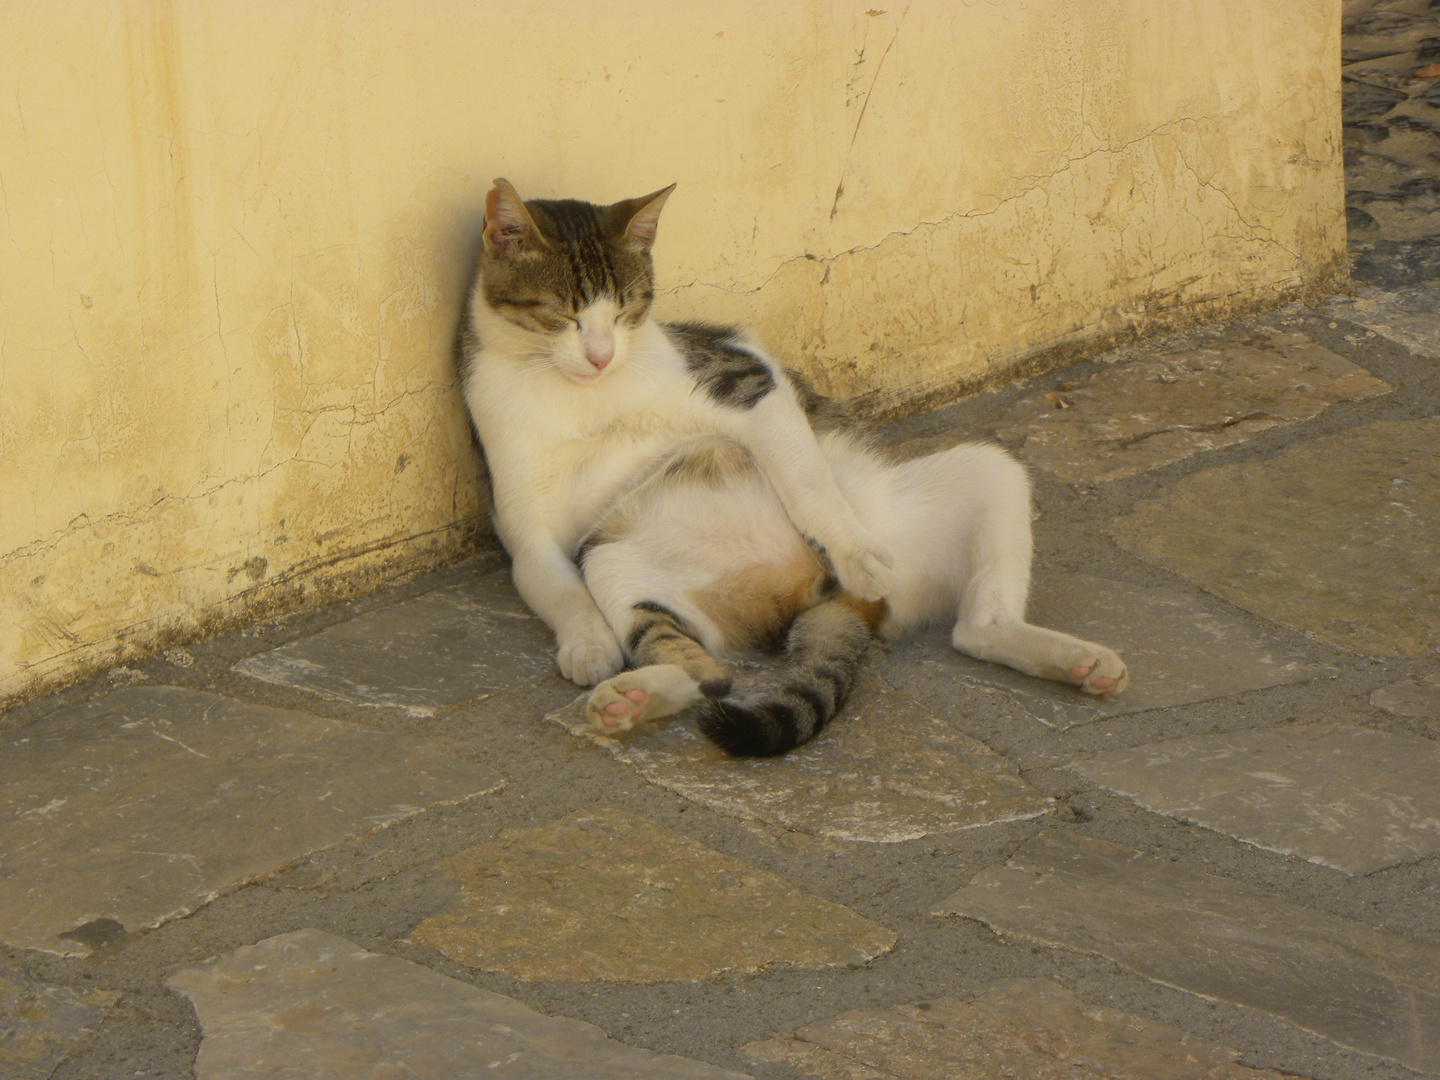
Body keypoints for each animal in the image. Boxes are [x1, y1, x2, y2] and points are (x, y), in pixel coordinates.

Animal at [460, 177, 1123, 754]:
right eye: (564, 315)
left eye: (627, 311)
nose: (600, 356)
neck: (586, 395)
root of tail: (816, 595)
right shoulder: (521, 518)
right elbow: (554, 586)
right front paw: (588, 644)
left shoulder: (748, 380)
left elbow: (808, 481)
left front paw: (858, 553)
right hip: (612, 559)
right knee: (706, 673)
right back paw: (630, 698)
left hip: (983, 472)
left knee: (978, 621)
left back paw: (1073, 657)